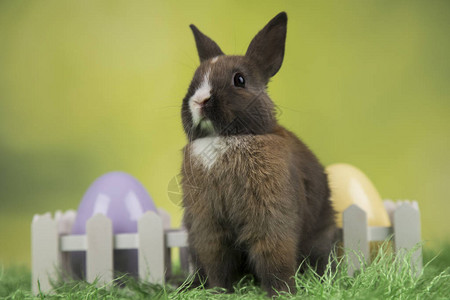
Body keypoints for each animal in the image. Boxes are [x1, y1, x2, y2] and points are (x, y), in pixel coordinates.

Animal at [181, 11, 336, 296]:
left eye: (239, 80)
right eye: (194, 80)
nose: (199, 101)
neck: (226, 139)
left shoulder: (270, 219)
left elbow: (273, 258)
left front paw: (281, 293)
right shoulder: (207, 226)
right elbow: (217, 261)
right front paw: (219, 292)